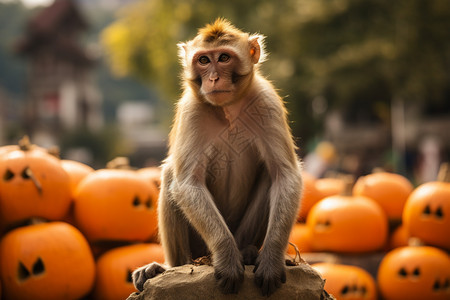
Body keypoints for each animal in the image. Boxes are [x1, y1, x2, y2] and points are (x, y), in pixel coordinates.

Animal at [134, 18, 302, 296]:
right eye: (203, 60)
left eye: (224, 58)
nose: (213, 78)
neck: (228, 109)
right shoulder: (191, 111)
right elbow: (187, 183)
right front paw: (227, 257)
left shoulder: (267, 103)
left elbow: (285, 175)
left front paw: (271, 259)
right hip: (198, 249)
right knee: (170, 174)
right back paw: (169, 267)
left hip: (242, 232)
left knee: (270, 175)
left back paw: (248, 252)